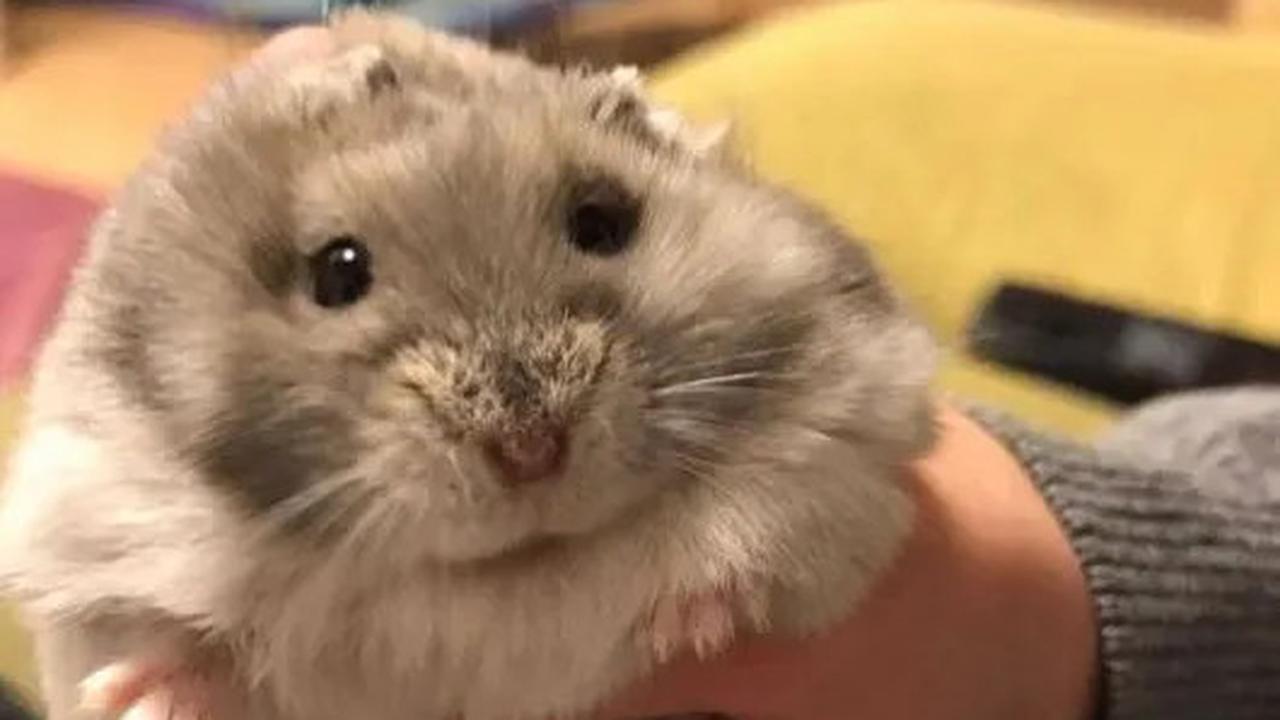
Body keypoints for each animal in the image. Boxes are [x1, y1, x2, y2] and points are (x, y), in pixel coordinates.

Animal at [0, 12, 936, 720]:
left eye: (602, 222)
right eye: (338, 271)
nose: (530, 452)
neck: (503, 571)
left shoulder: (842, 459)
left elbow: (754, 536)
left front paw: (695, 625)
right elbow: (174, 644)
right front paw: (139, 694)